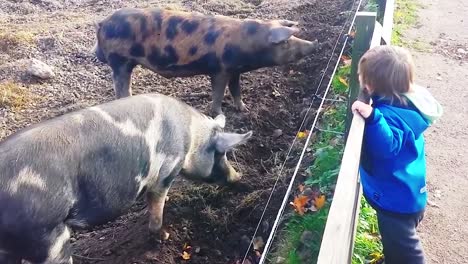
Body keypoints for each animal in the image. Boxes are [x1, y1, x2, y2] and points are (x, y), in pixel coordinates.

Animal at [0, 94, 252, 262]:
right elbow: (156, 206)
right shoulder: (166, 171)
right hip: (48, 236)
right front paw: (165, 235)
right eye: (221, 153)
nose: (238, 177)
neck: (192, 138)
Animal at [93, 7, 320, 115]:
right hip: (119, 60)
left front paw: (244, 109)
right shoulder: (220, 69)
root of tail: (103, 23)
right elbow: (218, 93)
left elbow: (236, 90)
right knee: (120, 87)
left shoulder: (235, 70)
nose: (316, 44)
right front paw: (218, 113)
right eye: (286, 42)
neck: (247, 43)